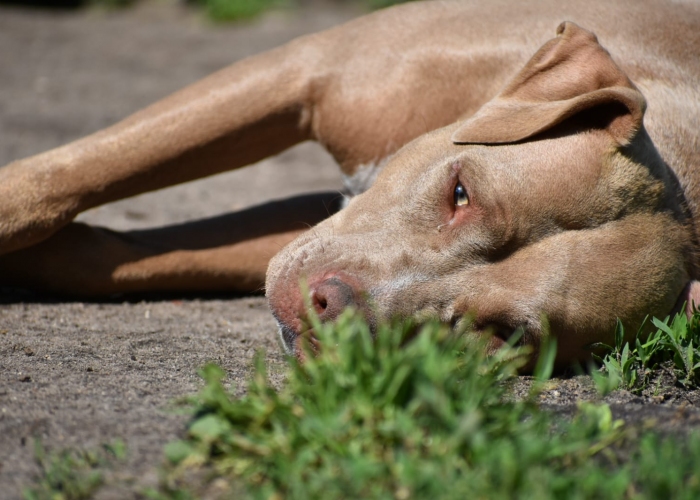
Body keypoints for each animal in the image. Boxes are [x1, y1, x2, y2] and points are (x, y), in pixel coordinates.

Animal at [0, 1, 696, 366]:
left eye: (495, 334)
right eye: (461, 191)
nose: (329, 308)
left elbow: (123, 257)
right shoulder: (305, 69)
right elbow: (55, 182)